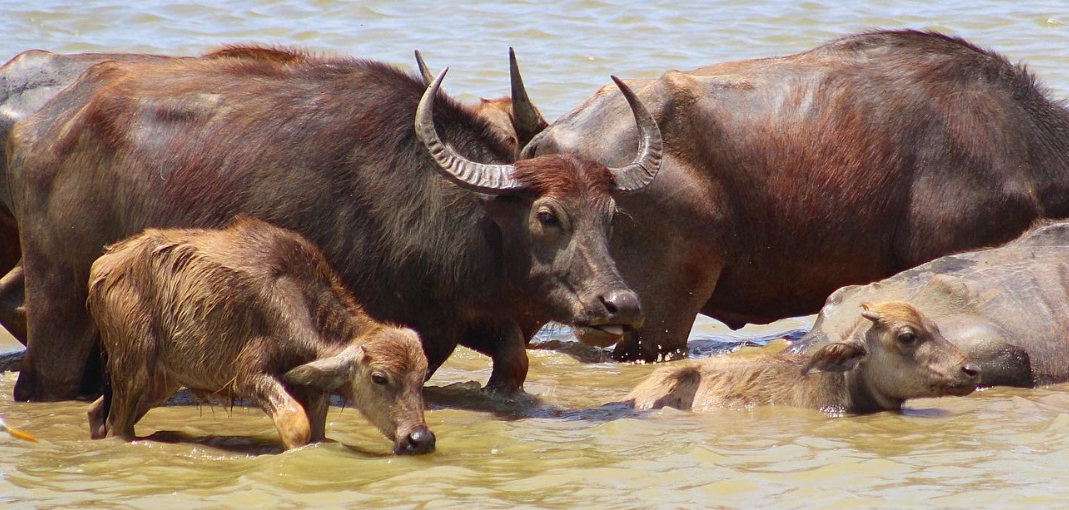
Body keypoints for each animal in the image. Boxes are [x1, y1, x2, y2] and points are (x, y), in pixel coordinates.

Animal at [7, 46, 662, 401]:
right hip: (59, 295)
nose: (622, 304)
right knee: (47, 377)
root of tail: (40, 127)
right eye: (547, 216)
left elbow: (513, 361)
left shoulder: (459, 317)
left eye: (610, 215)